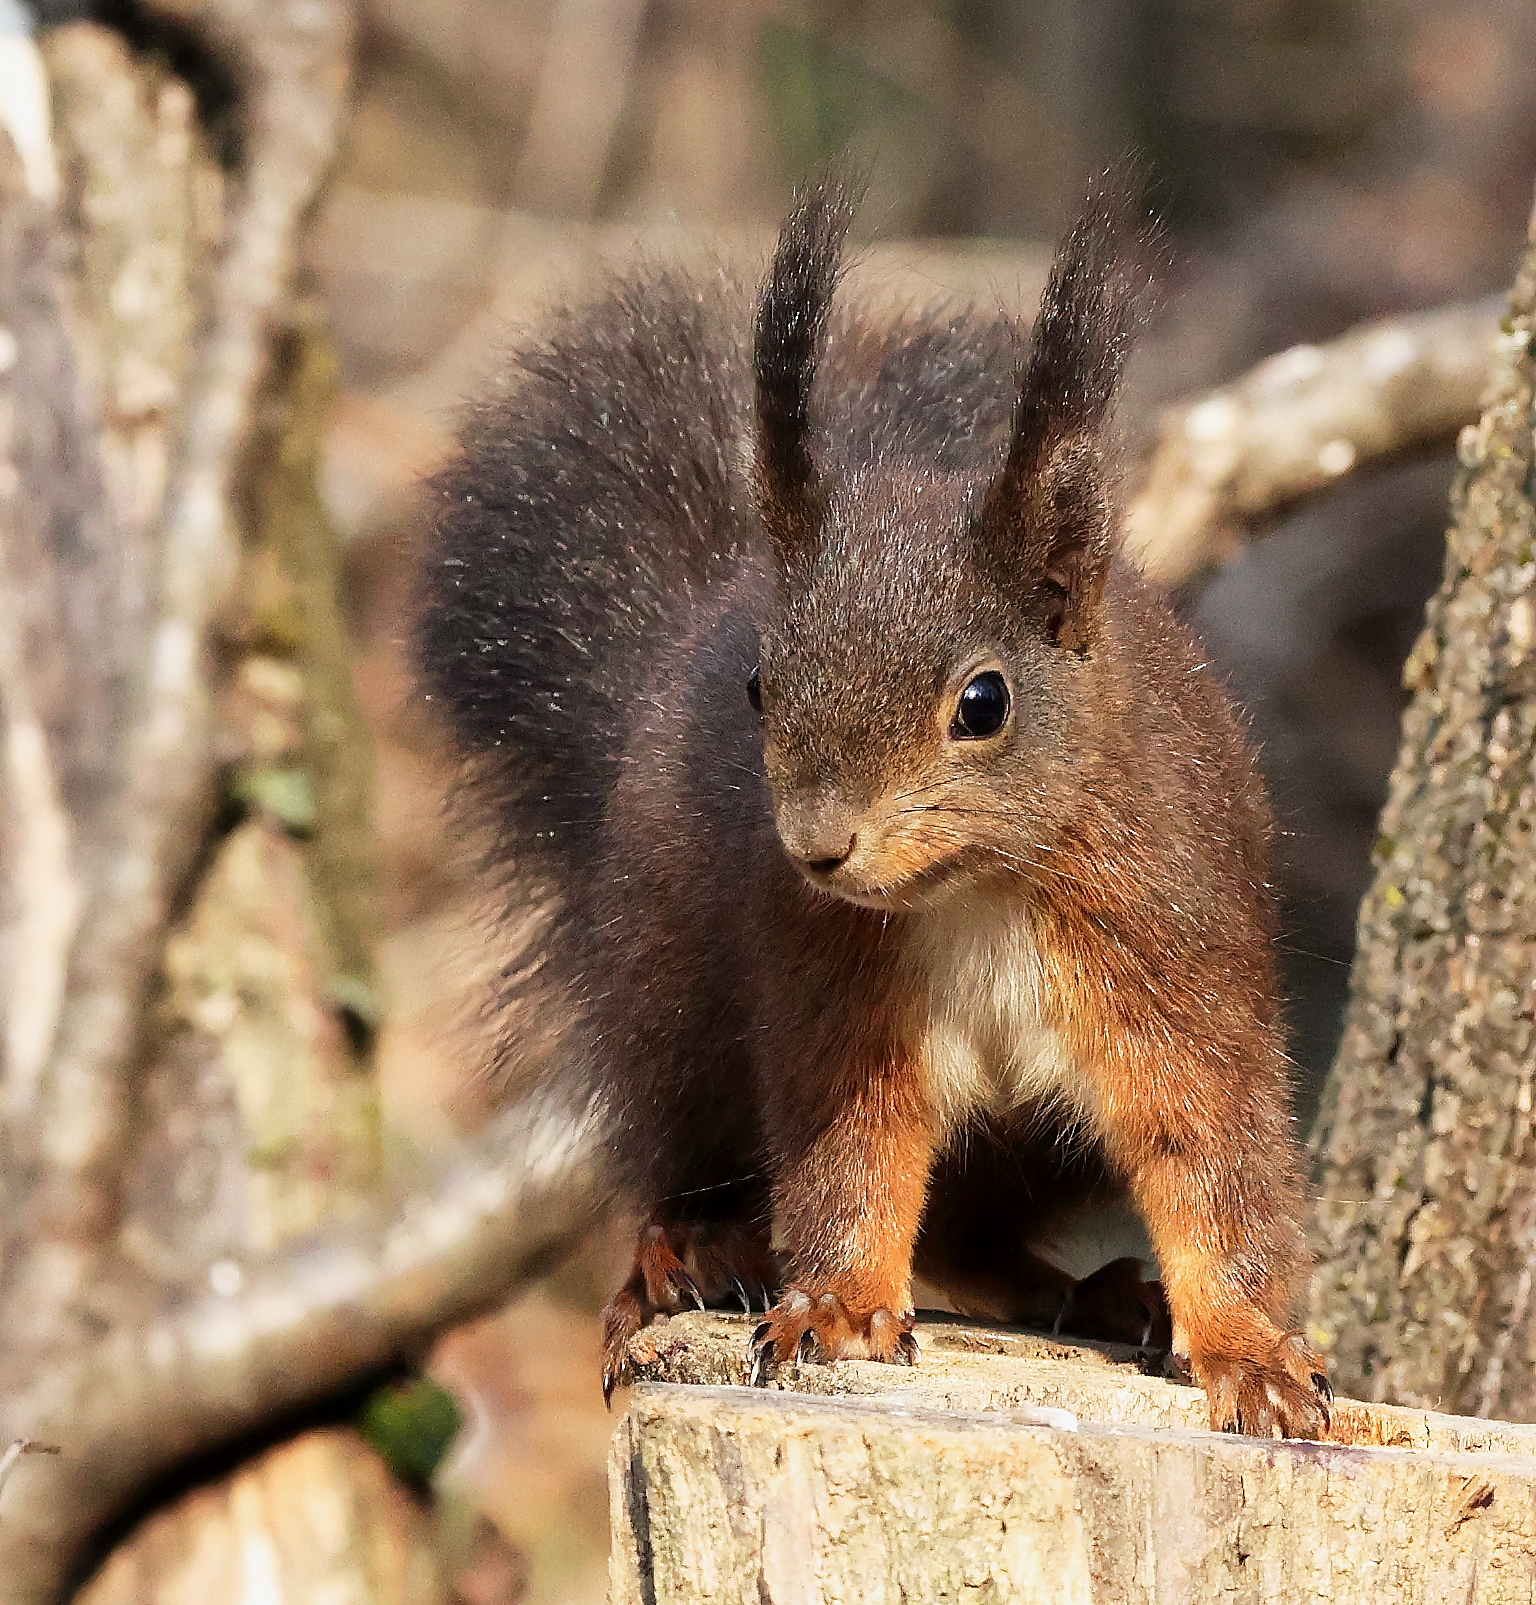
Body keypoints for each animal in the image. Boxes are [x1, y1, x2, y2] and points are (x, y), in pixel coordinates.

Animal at [414, 172, 1332, 1440]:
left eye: (983, 703)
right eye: (761, 684)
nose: (818, 847)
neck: (979, 890)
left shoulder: (1169, 958)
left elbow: (1208, 1154)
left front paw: (1251, 1350)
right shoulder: (831, 990)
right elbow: (855, 1155)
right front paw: (838, 1306)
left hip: (1035, 1147)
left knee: (976, 1234)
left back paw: (1100, 1293)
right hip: (671, 1015)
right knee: (692, 1161)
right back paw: (686, 1251)